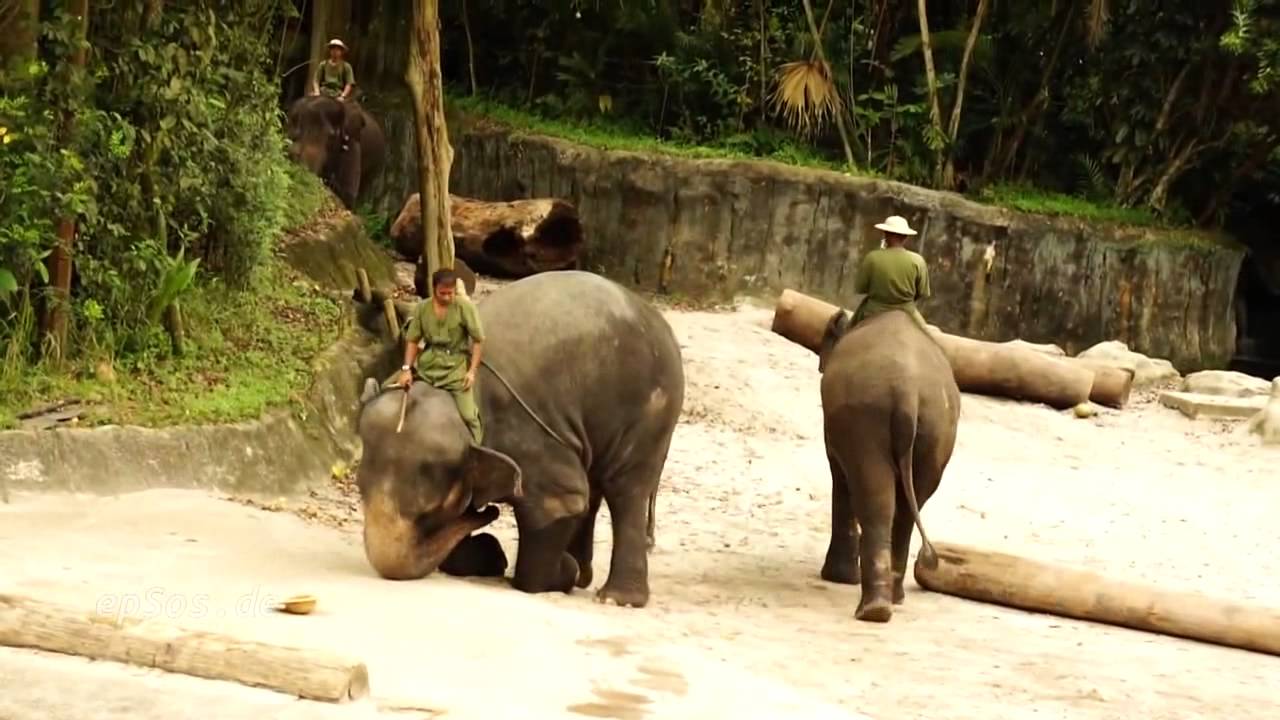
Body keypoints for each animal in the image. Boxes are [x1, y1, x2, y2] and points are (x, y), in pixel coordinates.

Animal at [355, 269, 686, 604]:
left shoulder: (530, 438)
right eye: (359, 489)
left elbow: (561, 503)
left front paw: (559, 572)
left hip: (651, 412)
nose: (488, 512)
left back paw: (614, 596)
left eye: (429, 511)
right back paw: (584, 575)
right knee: (596, 485)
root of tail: (660, 323)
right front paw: (491, 556)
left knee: (626, 489)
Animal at [819, 304, 962, 620]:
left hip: (865, 416)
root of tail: (908, 391)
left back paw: (872, 610)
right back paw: (889, 603)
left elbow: (839, 475)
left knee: (874, 496)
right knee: (909, 504)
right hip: (936, 428)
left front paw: (838, 578)